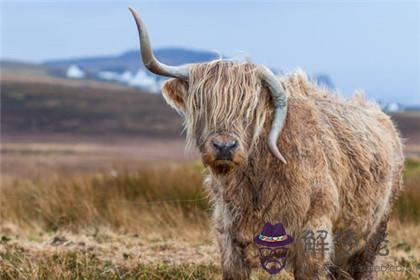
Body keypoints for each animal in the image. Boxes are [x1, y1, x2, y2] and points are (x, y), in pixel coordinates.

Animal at [130, 7, 406, 278]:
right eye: (202, 104)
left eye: (250, 109)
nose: (224, 147)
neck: (256, 181)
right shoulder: (229, 236)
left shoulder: (314, 233)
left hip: (375, 231)